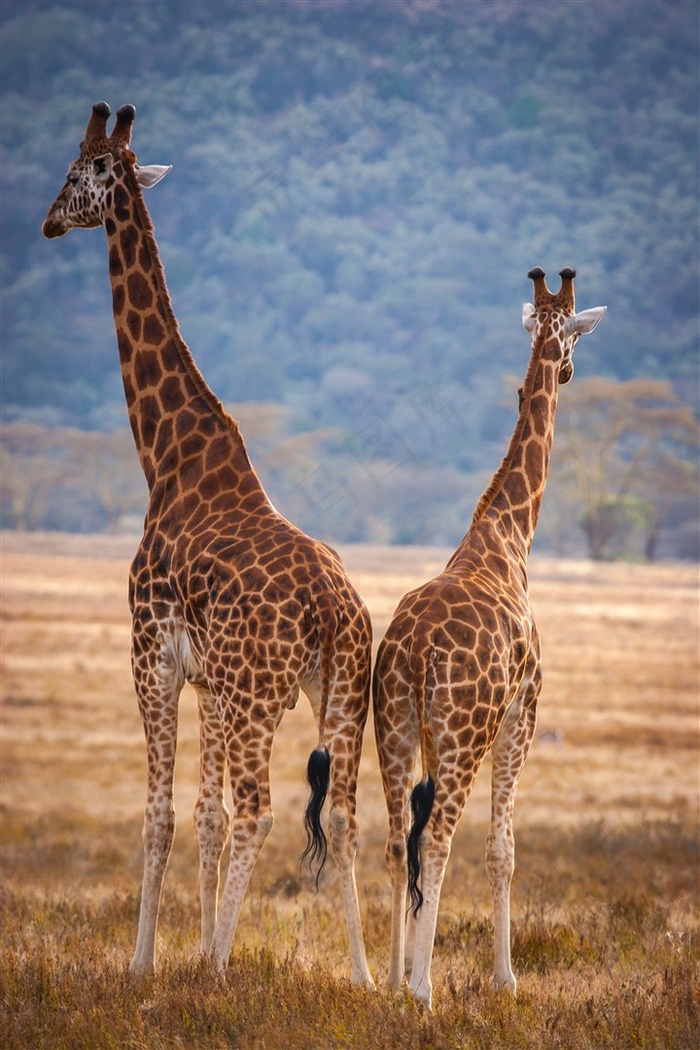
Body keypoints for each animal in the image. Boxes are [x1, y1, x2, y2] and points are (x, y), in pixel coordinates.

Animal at [41, 100, 375, 982]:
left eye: (77, 170)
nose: (47, 222)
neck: (166, 454)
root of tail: (335, 608)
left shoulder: (151, 653)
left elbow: (164, 814)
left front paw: (147, 965)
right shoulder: (211, 683)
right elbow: (206, 814)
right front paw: (188, 948)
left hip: (263, 694)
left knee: (264, 809)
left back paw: (223, 968)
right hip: (338, 690)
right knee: (347, 814)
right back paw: (367, 978)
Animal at [371, 266, 608, 1003]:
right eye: (573, 338)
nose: (569, 370)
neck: (509, 536)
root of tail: (416, 651)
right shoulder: (522, 715)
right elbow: (501, 848)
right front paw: (506, 979)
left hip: (394, 724)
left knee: (396, 839)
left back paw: (393, 985)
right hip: (464, 731)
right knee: (438, 838)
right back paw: (422, 990)